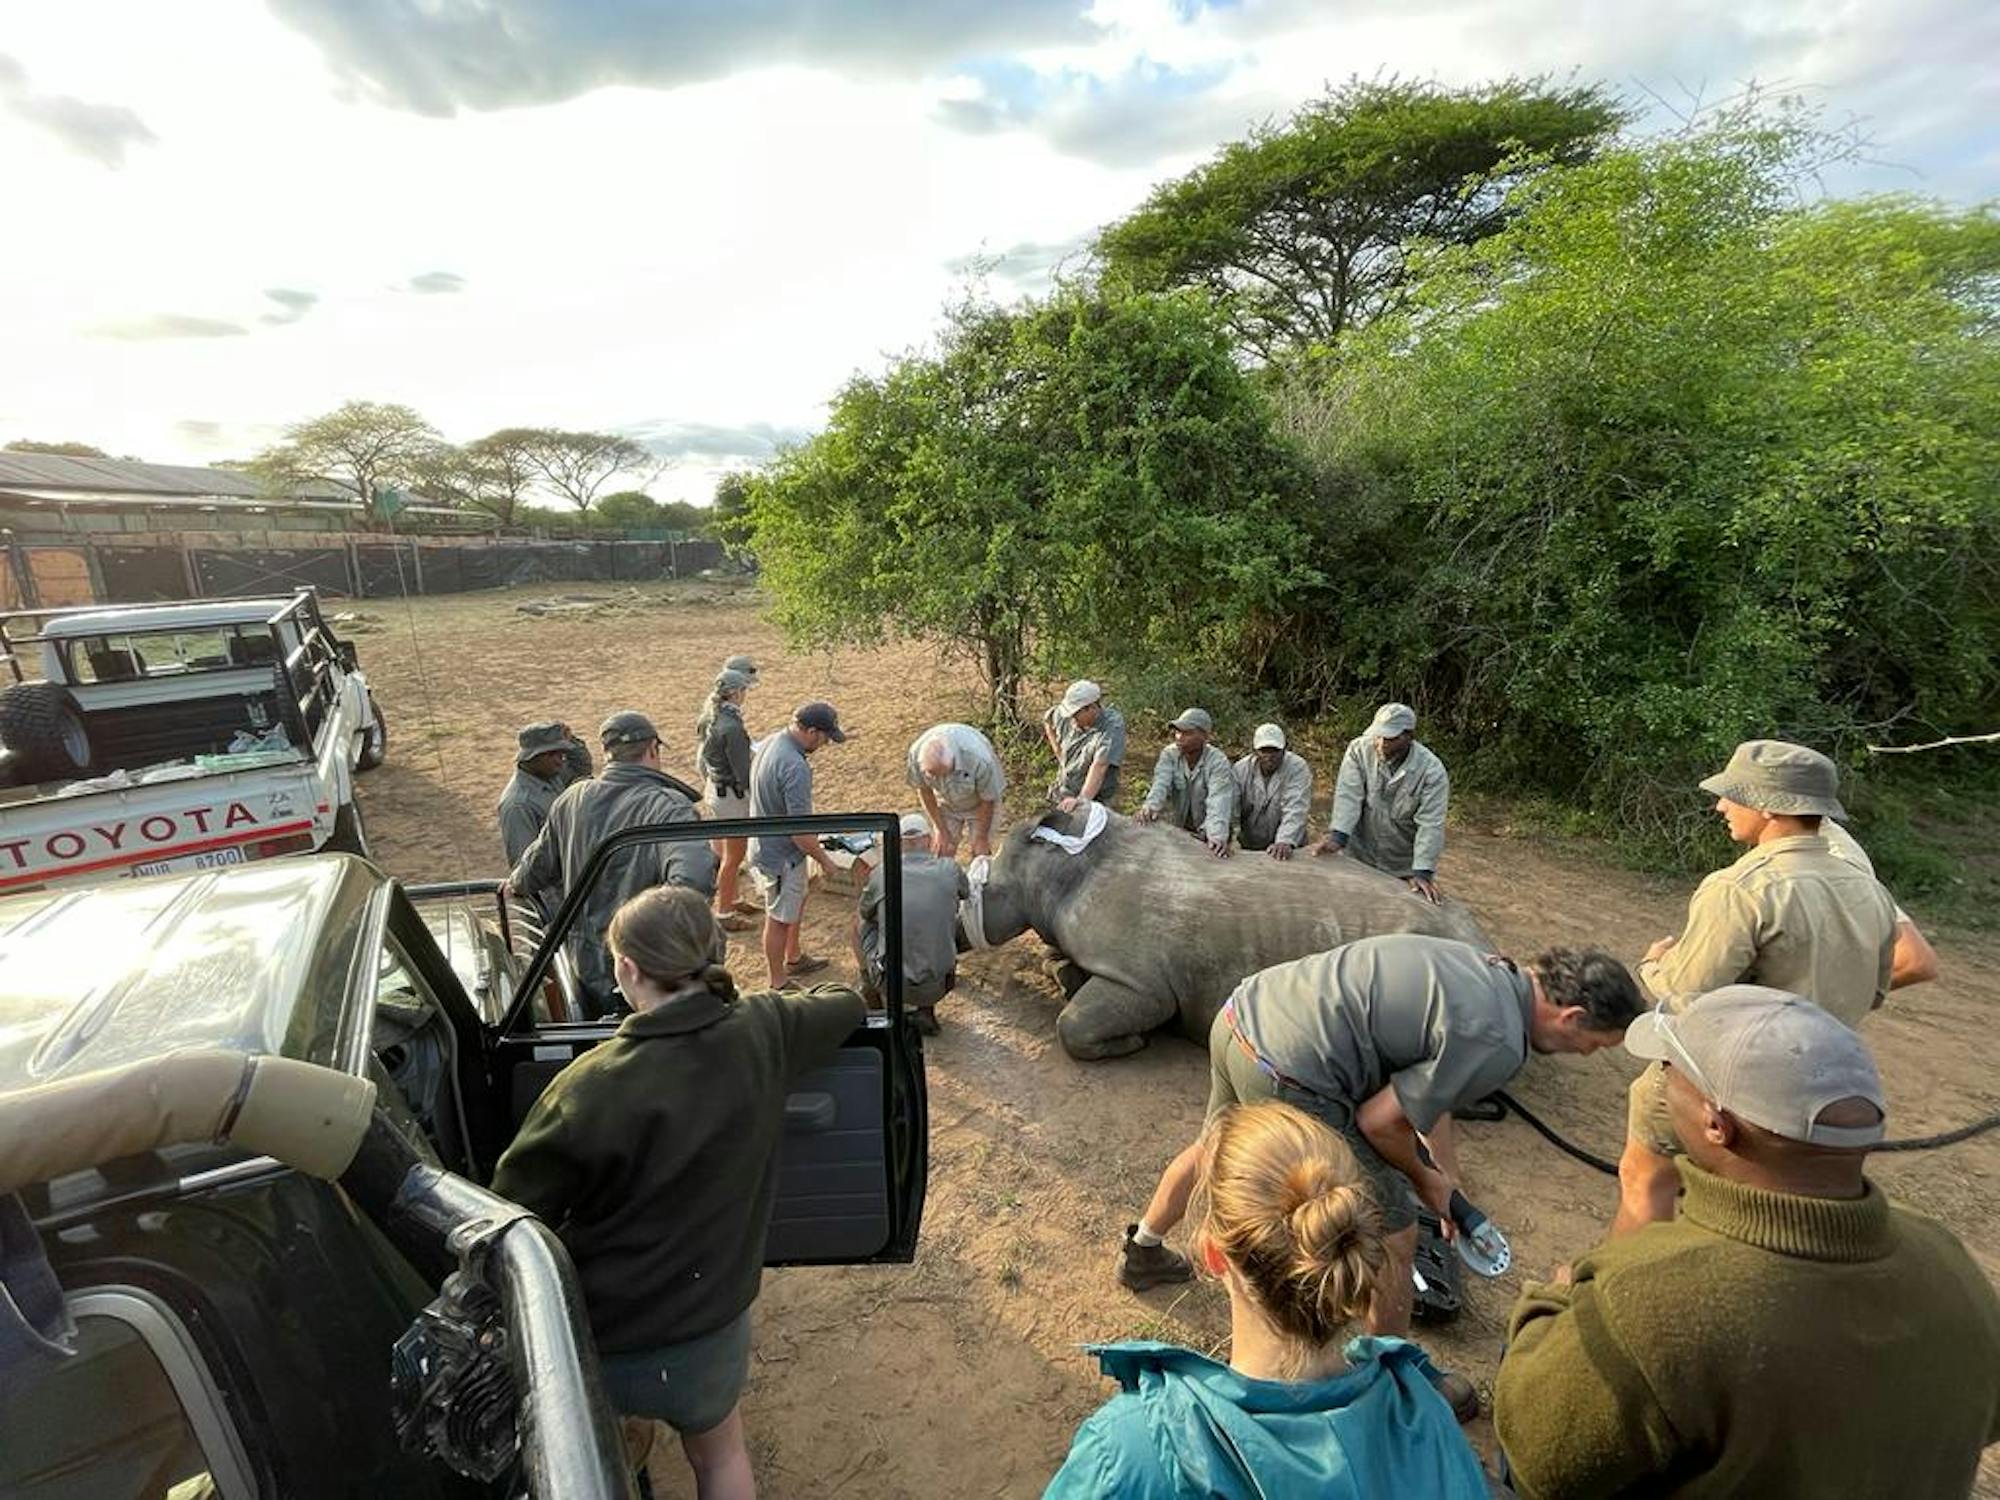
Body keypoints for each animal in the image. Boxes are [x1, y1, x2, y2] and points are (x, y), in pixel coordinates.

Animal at [976, 804, 1496, 1064]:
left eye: (991, 890)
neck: (1062, 867)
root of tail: (1487, 948)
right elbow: (1060, 966)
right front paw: (1067, 978)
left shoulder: (1145, 985)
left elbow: (1073, 1026)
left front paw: (1136, 1043)